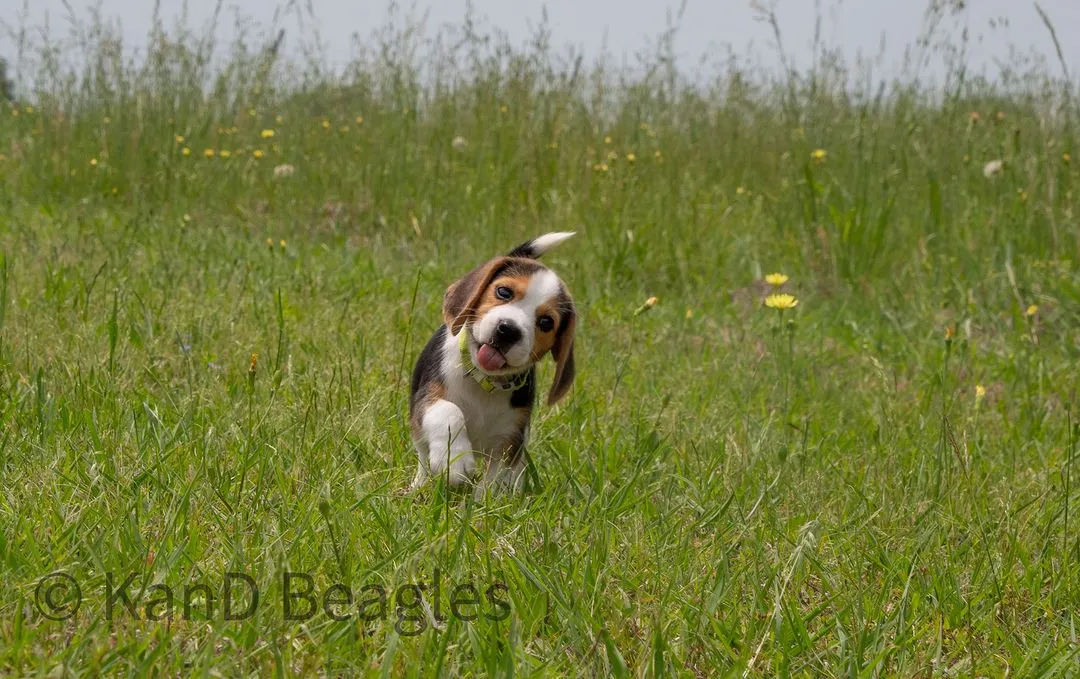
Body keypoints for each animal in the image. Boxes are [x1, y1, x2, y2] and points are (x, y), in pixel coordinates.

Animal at [408, 233, 578, 492]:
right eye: (504, 292)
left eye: (546, 322)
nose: (508, 330)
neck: (484, 381)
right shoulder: (427, 400)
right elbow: (449, 411)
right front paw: (454, 460)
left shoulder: (510, 438)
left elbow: (496, 480)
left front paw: (486, 499)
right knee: (423, 456)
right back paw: (419, 484)